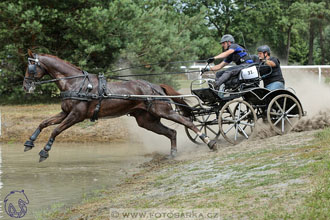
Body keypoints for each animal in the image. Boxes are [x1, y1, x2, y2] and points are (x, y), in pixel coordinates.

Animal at [23, 49, 217, 162]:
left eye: (30, 67)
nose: (25, 86)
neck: (76, 84)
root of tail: (155, 86)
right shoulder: (65, 113)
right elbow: (44, 123)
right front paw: (29, 142)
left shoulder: (76, 116)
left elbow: (56, 130)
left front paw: (45, 151)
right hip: (147, 121)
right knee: (172, 132)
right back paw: (173, 154)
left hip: (164, 111)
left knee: (188, 123)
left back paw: (209, 142)